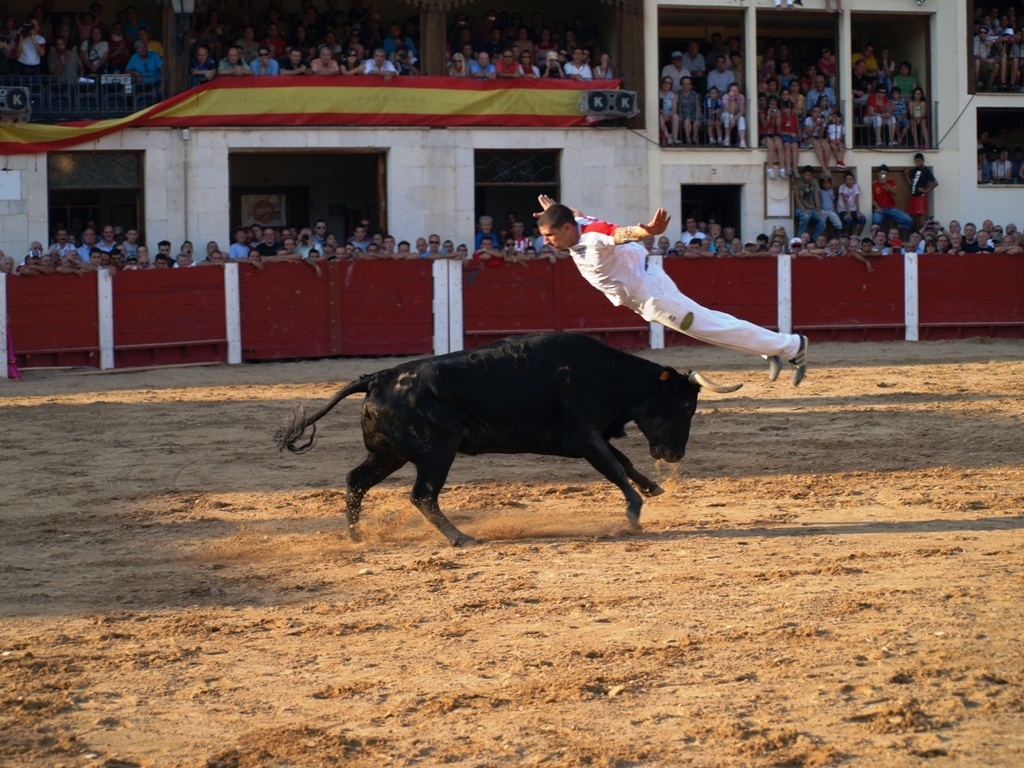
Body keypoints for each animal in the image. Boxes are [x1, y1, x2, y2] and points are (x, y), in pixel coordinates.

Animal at [276, 331, 737, 548]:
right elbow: (614, 466)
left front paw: (653, 487)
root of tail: (377, 377)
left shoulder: (590, 436)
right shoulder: (582, 438)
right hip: (437, 451)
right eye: (684, 406)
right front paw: (635, 513)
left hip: (389, 453)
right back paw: (460, 537)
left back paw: (357, 537)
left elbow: (622, 461)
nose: (674, 455)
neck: (605, 374)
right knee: (423, 494)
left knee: (356, 481)